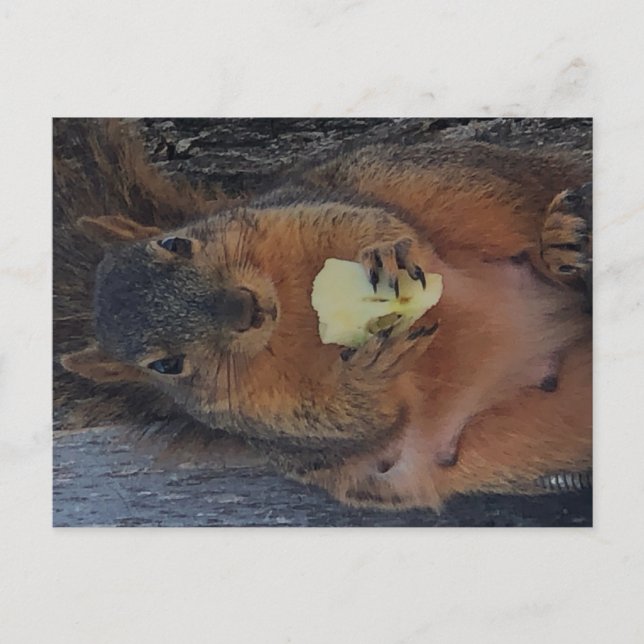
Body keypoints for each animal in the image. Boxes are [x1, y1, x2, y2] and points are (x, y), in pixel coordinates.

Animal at [57, 119, 592, 511]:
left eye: (175, 243)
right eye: (165, 365)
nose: (242, 307)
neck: (293, 317)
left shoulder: (305, 209)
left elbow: (373, 221)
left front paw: (384, 255)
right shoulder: (287, 425)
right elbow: (362, 420)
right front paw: (369, 373)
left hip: (451, 184)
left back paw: (559, 243)